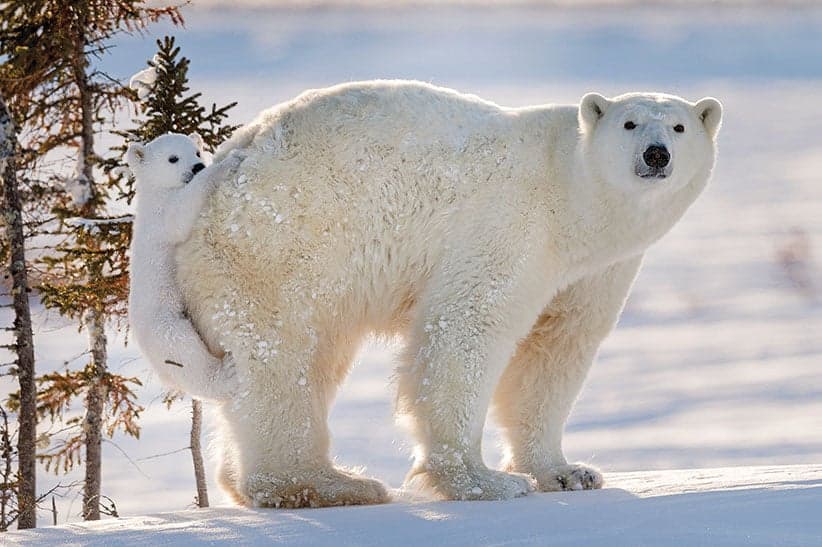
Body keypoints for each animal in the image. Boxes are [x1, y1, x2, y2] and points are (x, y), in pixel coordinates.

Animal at [127, 132, 245, 402]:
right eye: (173, 158)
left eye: (197, 152)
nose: (197, 166)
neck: (155, 192)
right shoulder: (161, 215)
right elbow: (180, 214)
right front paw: (229, 162)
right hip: (164, 322)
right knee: (183, 350)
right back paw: (227, 374)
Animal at [174, 80, 722, 507]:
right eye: (629, 124)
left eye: (679, 127)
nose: (656, 154)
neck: (573, 197)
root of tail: (225, 163)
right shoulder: (510, 225)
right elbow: (467, 329)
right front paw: (483, 482)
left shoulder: (596, 270)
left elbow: (555, 351)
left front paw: (568, 472)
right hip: (279, 247)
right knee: (283, 361)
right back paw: (330, 483)